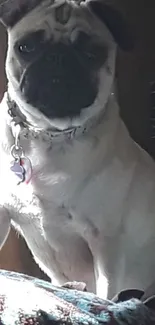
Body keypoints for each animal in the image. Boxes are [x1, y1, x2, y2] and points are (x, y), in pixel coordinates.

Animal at [0, 0, 154, 300]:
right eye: (26, 47)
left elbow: (105, 291)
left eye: (92, 53)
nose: (58, 58)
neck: (49, 135)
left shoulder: (105, 242)